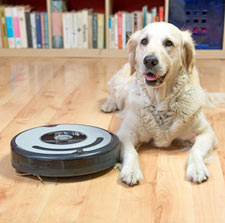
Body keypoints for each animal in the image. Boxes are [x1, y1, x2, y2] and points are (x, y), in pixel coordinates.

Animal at [102, 22, 225, 186]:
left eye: (168, 43)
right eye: (144, 41)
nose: (149, 60)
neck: (160, 102)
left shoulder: (206, 133)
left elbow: (195, 151)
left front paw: (197, 169)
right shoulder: (125, 134)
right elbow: (131, 152)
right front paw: (130, 171)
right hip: (119, 82)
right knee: (112, 93)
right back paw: (108, 105)